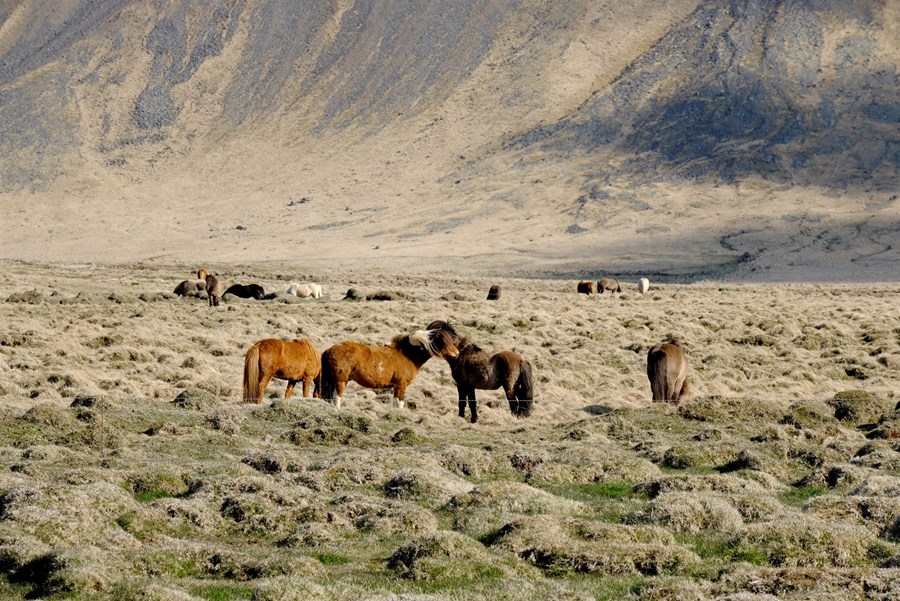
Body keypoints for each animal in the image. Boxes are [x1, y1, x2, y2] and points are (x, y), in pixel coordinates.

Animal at [318, 328, 458, 408]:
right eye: (445, 343)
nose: (457, 354)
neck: (408, 354)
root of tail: (329, 350)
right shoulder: (401, 384)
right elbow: (399, 403)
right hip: (340, 381)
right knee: (336, 398)